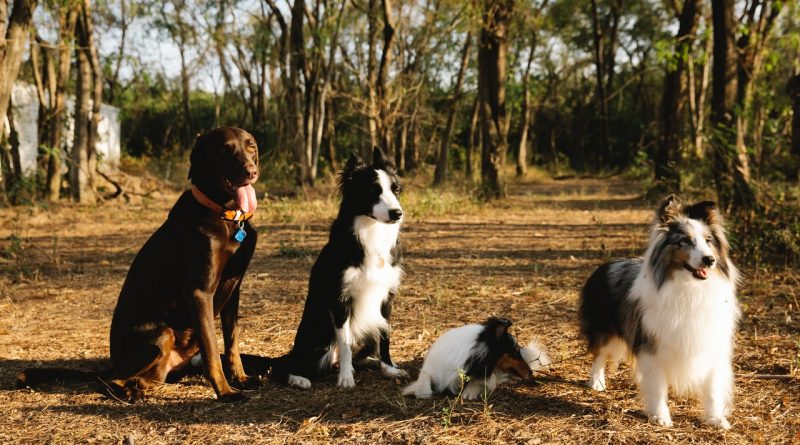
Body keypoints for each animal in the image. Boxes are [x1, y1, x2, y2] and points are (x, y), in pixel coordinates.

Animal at [17, 125, 260, 402]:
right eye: (224, 150)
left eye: (251, 146)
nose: (252, 171)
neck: (227, 216)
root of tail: (114, 363)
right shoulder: (200, 292)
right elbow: (211, 349)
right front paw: (225, 391)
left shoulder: (233, 288)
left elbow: (232, 342)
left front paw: (241, 379)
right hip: (161, 335)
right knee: (106, 380)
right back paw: (128, 392)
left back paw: (137, 387)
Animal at [404, 316, 548, 398]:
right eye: (514, 352)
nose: (531, 373)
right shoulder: (432, 370)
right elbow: (425, 382)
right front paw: (421, 392)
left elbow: (479, 382)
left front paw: (470, 392)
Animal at [580, 194, 740, 426]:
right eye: (685, 241)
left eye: (708, 241)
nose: (710, 260)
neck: (688, 287)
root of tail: (604, 265)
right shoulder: (652, 343)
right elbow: (657, 385)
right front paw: (660, 416)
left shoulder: (710, 342)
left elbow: (711, 387)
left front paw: (716, 418)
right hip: (605, 329)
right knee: (599, 354)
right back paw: (597, 382)